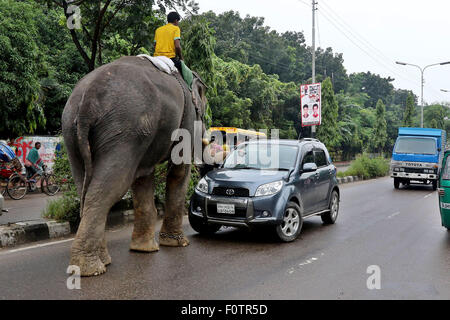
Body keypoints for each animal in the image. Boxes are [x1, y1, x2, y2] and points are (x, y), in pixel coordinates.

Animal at [60, 56, 208, 276]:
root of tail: (87, 98)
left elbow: (142, 177)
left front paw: (143, 249)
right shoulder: (187, 116)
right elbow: (178, 170)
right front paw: (178, 244)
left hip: (74, 131)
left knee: (85, 187)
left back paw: (100, 262)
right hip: (124, 129)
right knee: (109, 187)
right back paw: (91, 269)